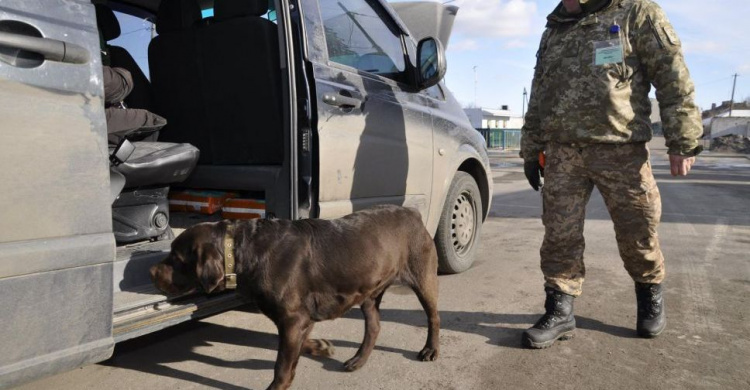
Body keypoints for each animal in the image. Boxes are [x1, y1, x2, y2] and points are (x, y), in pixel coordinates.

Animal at [151, 206, 440, 388]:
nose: (151, 271)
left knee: (433, 316)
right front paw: (320, 346)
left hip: (423, 277)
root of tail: (413, 212)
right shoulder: (301, 317)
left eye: (176, 257)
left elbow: (281, 366)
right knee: (374, 326)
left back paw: (430, 349)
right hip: (369, 291)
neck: (242, 249)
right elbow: (301, 346)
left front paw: (276, 386)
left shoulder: (292, 319)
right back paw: (358, 360)